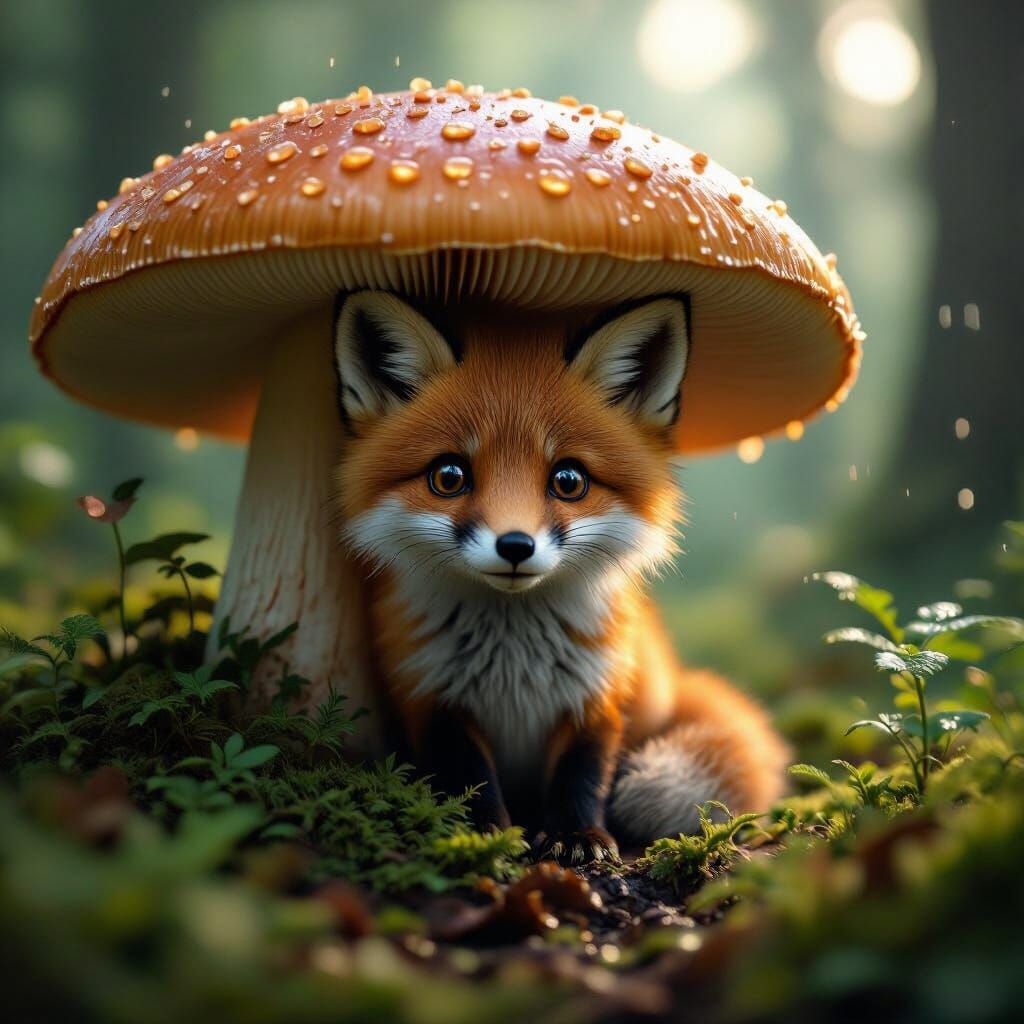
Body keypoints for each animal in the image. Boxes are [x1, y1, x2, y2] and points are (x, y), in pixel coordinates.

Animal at [332, 289, 790, 865]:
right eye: (449, 476)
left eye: (568, 480)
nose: (515, 546)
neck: (512, 660)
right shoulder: (428, 693)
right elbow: (469, 777)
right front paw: (482, 834)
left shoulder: (600, 691)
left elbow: (582, 774)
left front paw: (577, 837)